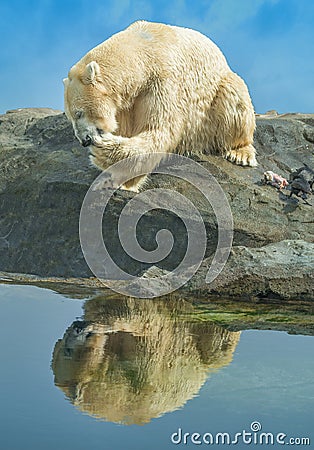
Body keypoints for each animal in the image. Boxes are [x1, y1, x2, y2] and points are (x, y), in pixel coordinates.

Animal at [63, 20, 258, 192]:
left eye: (79, 113)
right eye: (70, 116)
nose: (84, 141)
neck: (144, 51)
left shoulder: (163, 80)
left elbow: (160, 130)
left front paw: (103, 151)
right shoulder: (125, 104)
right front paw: (111, 181)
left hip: (217, 96)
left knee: (234, 98)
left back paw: (240, 153)